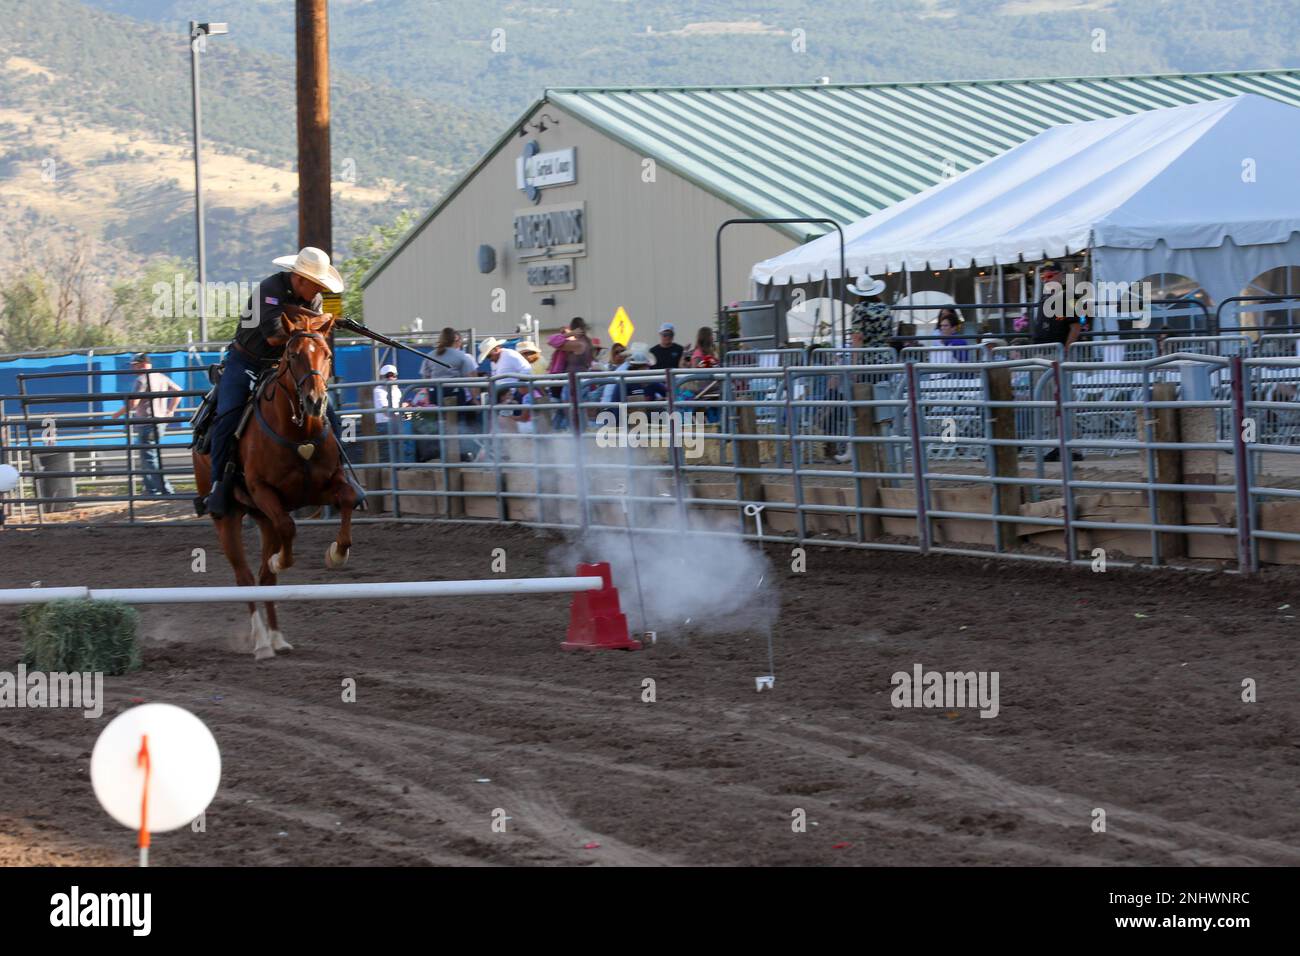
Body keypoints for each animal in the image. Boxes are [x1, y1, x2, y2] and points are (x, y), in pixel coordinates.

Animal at [189, 310, 361, 660]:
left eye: (328, 355)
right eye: (293, 355)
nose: (315, 401)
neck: (299, 433)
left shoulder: (325, 486)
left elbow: (349, 499)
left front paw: (336, 554)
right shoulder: (264, 492)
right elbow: (288, 529)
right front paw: (280, 558)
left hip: (261, 518)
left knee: (265, 578)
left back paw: (278, 637)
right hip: (228, 516)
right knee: (244, 577)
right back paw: (262, 642)